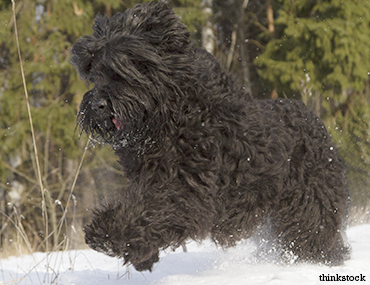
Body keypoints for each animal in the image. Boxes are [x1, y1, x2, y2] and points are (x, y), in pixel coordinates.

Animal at [71, 0, 352, 270]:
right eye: (95, 73)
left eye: (122, 69)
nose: (97, 105)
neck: (177, 111)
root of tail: (320, 128)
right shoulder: (151, 177)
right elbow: (143, 206)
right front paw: (141, 254)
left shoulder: (190, 187)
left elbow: (154, 208)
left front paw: (108, 233)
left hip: (310, 203)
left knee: (314, 236)